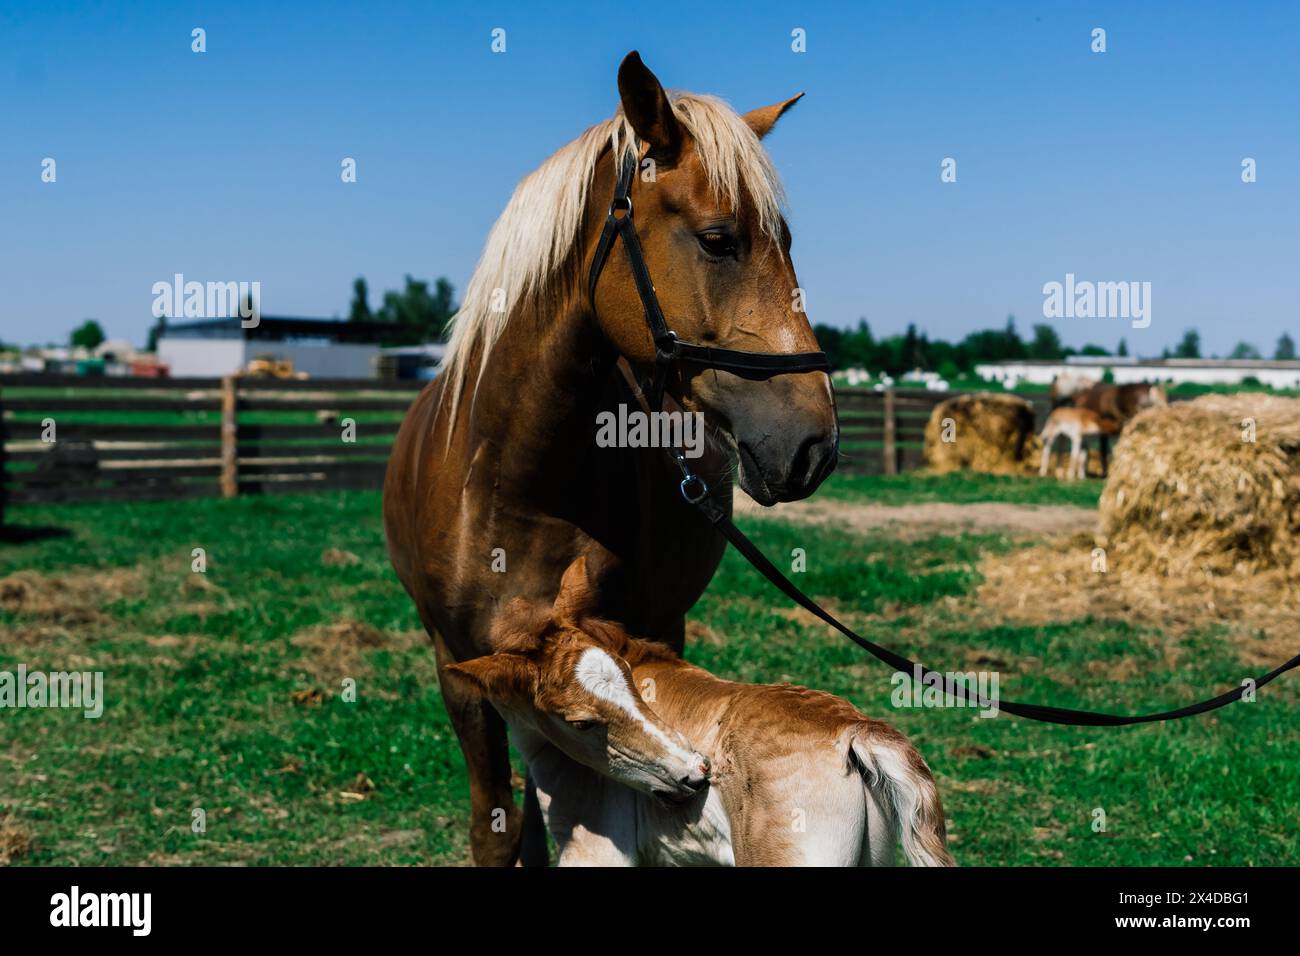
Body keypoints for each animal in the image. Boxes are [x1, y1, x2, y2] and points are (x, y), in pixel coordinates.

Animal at [383, 52, 838, 866]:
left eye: (787, 239)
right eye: (719, 239)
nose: (814, 444)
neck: (515, 482)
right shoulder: (462, 672)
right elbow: (497, 825)